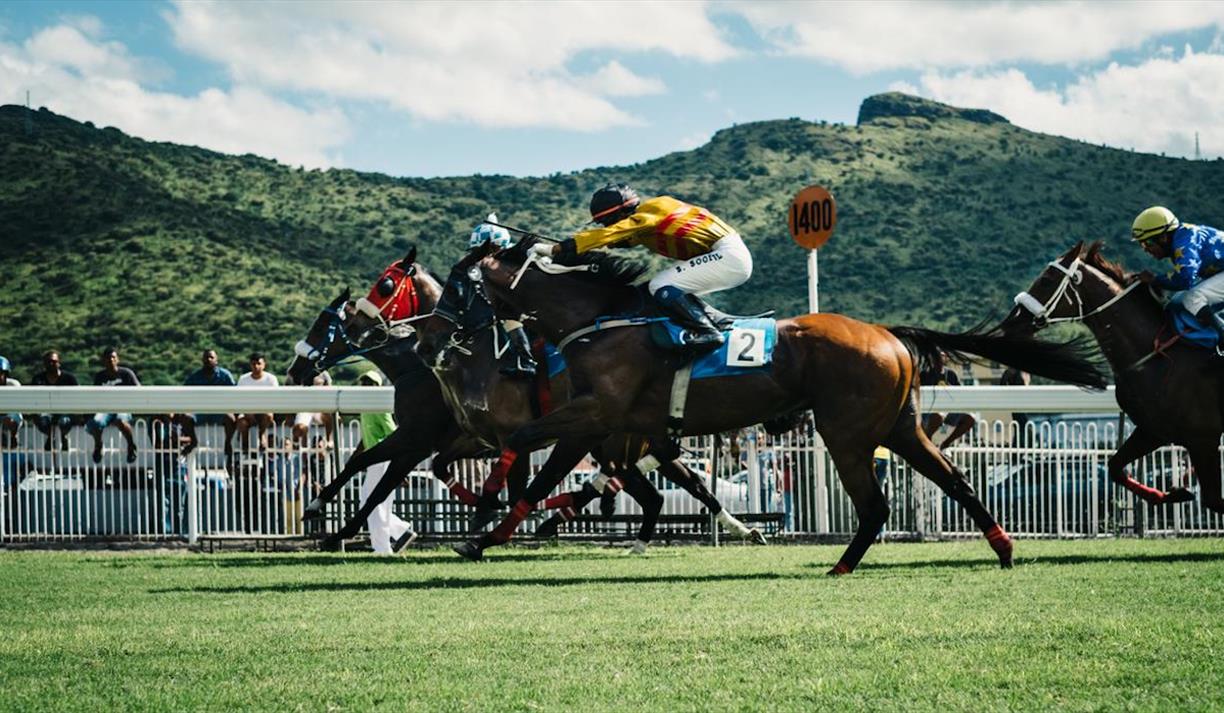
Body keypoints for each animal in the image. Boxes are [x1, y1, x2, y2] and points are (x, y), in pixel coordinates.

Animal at [413, 242, 1111, 572]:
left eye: (457, 286)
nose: (434, 335)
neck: (601, 318)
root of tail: (887, 334)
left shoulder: (593, 416)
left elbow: (522, 449)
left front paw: (480, 516)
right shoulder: (607, 426)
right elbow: (547, 477)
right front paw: (483, 532)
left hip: (846, 432)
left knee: (877, 504)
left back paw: (841, 565)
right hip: (899, 428)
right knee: (954, 480)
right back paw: (1003, 547)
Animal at [998, 239, 1219, 513]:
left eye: (1047, 280)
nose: (1012, 319)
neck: (1158, 355)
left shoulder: (1202, 438)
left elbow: (1214, 499)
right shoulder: (1154, 431)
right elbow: (1115, 468)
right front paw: (1171, 493)